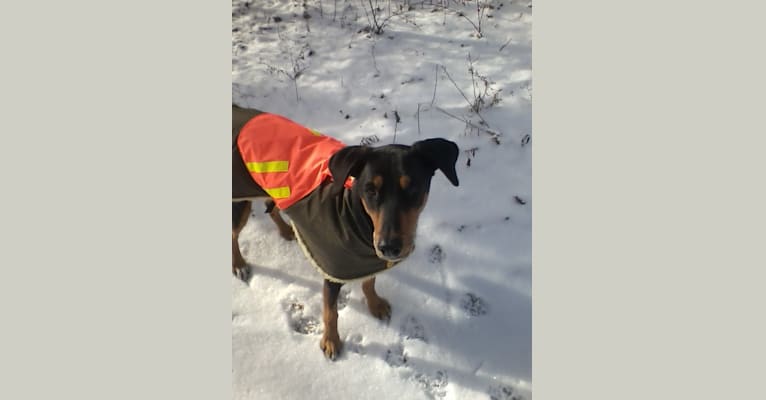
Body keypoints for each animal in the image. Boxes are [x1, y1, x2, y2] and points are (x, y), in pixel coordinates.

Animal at [234, 104, 460, 360]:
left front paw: (375, 304)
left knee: (271, 207)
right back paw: (239, 264)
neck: (358, 214)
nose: (389, 248)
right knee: (233, 234)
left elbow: (369, 282)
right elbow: (330, 312)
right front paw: (331, 341)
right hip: (239, 200)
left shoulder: (367, 258)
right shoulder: (334, 271)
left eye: (412, 187)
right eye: (370, 190)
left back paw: (284, 230)